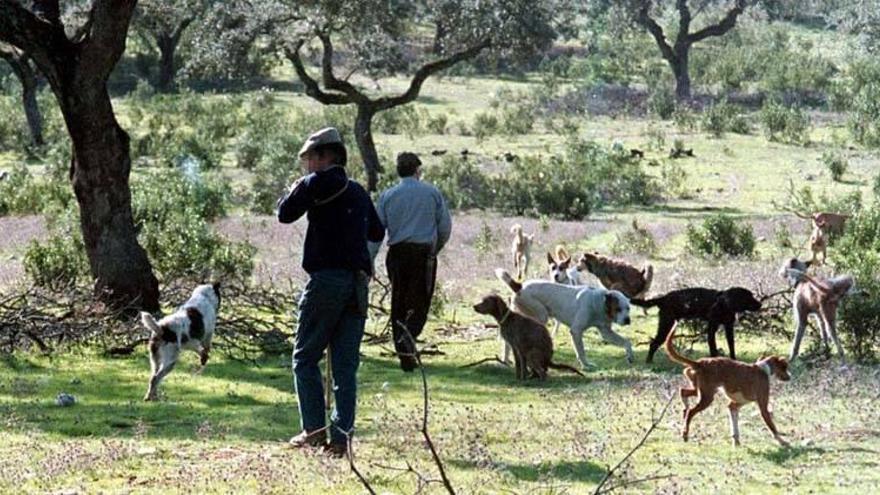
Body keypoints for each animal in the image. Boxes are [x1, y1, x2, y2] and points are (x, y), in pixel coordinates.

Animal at [496, 270, 632, 370]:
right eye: (618, 309)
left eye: (628, 308)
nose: (627, 320)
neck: (599, 302)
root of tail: (519, 286)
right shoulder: (576, 331)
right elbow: (581, 351)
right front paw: (586, 365)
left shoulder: (606, 333)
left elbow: (626, 342)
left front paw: (630, 356)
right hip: (540, 316)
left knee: (507, 341)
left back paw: (506, 360)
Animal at [632, 286, 764, 364]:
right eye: (749, 296)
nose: (760, 304)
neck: (724, 303)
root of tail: (663, 298)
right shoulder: (711, 329)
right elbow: (713, 349)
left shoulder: (729, 328)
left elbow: (731, 347)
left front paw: (734, 361)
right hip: (666, 324)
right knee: (653, 343)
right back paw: (649, 362)